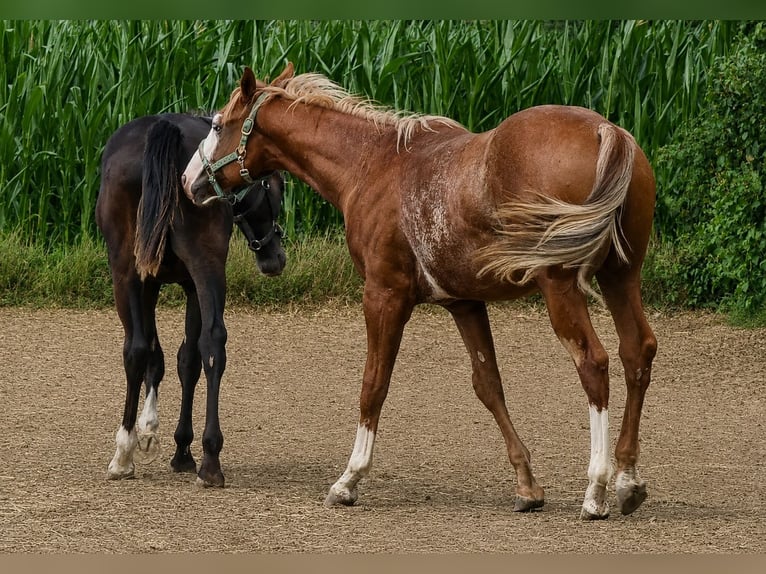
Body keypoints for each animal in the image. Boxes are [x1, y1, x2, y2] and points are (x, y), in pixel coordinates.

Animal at [95, 112, 286, 488]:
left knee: (136, 349)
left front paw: (151, 434)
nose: (276, 257)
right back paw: (209, 459)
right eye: (276, 189)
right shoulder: (185, 284)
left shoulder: (152, 281)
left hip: (127, 271)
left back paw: (124, 454)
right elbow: (186, 358)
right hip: (198, 265)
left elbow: (161, 356)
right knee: (210, 343)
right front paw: (172, 443)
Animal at [182, 63, 658, 520]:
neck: (372, 166)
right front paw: (527, 487)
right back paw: (628, 481)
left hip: (560, 287)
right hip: (621, 277)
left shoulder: (383, 296)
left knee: (593, 363)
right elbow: (488, 384)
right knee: (637, 351)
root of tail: (606, 132)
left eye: (218, 124)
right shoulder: (464, 302)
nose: (189, 181)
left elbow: (374, 383)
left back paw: (596, 490)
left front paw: (349, 480)